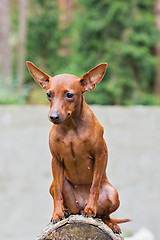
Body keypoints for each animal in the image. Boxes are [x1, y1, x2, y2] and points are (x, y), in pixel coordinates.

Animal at [26, 61, 131, 233]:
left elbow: (94, 186)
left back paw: (108, 222)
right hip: (55, 185)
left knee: (105, 215)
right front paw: (57, 213)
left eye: (69, 95)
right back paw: (66, 210)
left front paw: (90, 209)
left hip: (113, 194)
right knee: (60, 193)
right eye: (49, 94)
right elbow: (58, 193)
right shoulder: (56, 161)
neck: (71, 127)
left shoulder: (101, 155)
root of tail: (79, 206)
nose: (53, 117)